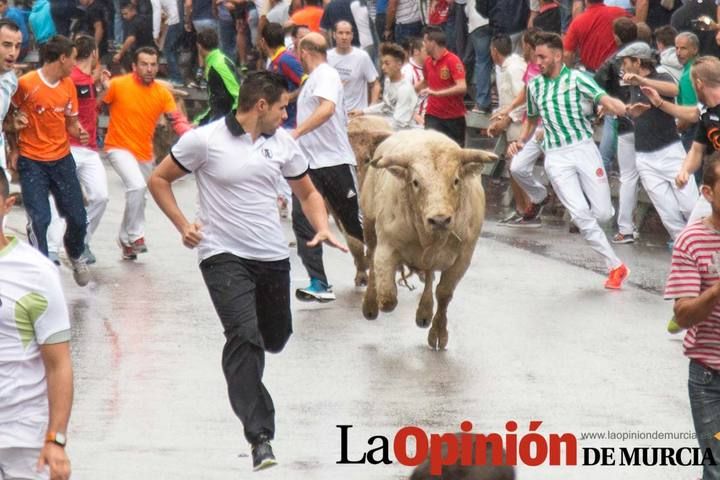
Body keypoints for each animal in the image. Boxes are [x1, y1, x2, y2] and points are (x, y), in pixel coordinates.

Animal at [360, 129, 496, 348]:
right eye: (416, 182)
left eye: (456, 180)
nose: (439, 220)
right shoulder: (386, 246)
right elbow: (388, 297)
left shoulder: (463, 258)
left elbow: (444, 293)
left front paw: (438, 332)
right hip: (370, 226)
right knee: (371, 260)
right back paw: (371, 306)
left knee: (430, 274)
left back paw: (424, 313)